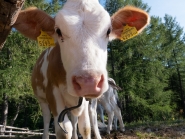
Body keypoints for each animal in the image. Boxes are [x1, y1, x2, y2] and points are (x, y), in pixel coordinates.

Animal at [12, 0, 149, 138]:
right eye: (58, 31)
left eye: (108, 31)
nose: (88, 82)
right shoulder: (52, 93)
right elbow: (63, 130)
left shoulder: (85, 101)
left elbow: (85, 127)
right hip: (42, 99)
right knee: (46, 119)